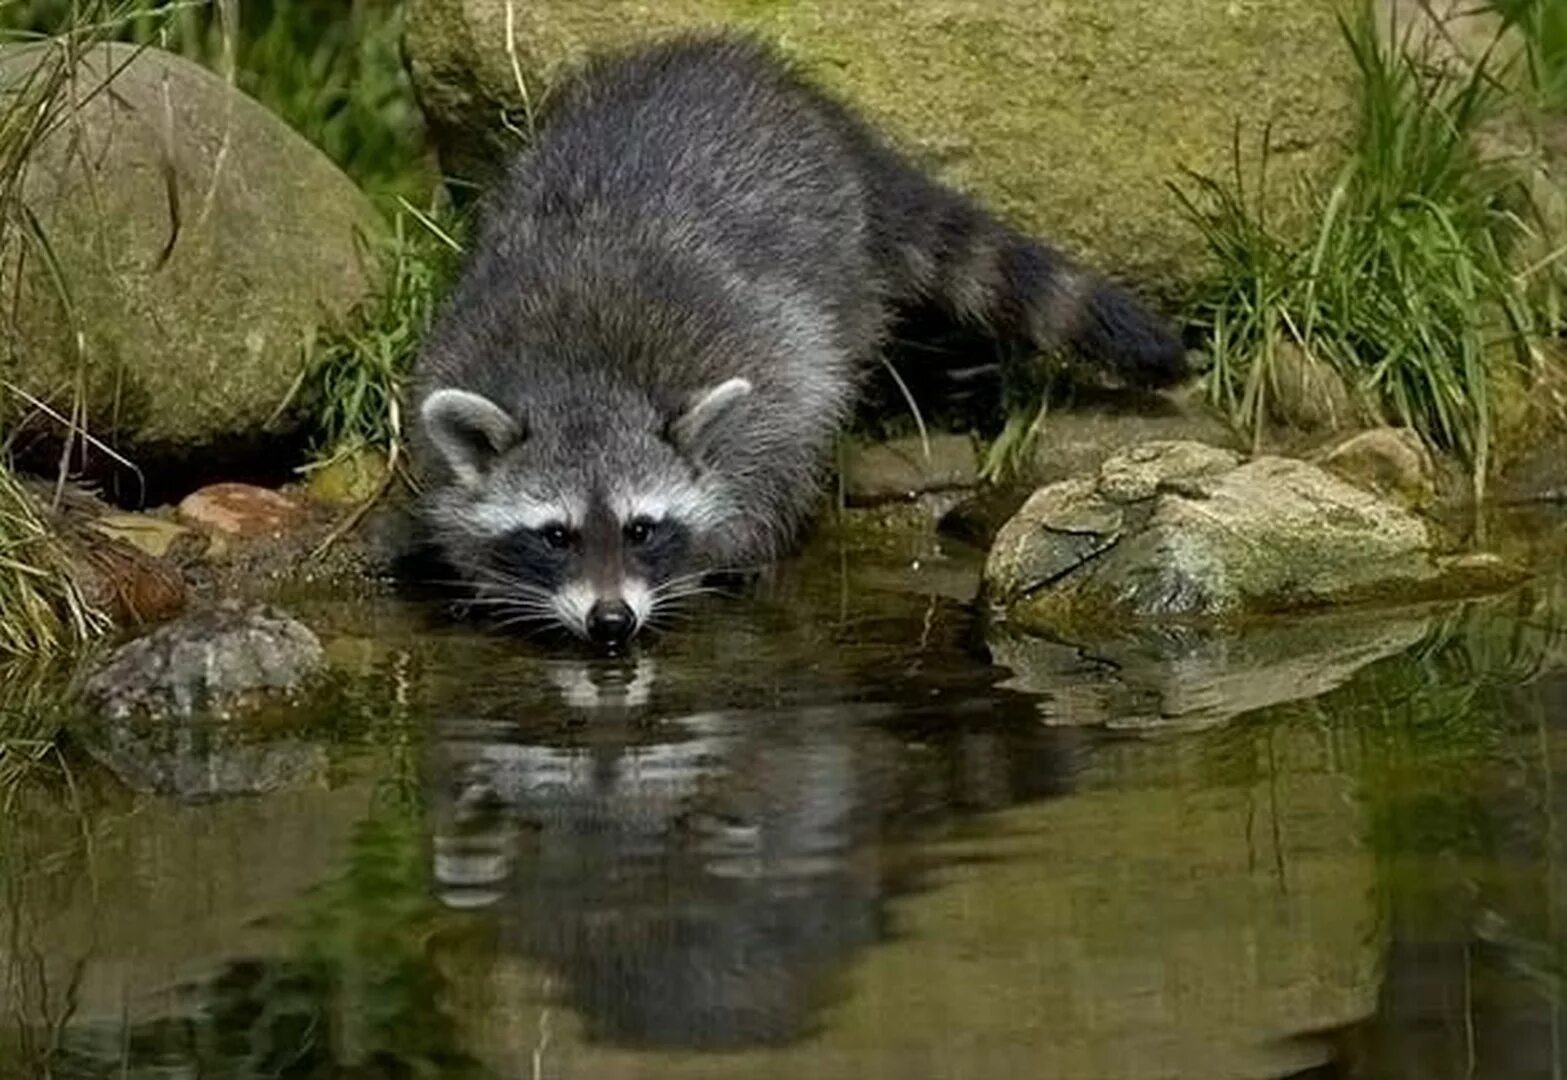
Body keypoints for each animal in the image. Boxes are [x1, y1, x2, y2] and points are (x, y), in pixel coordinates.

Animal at [410, 31, 1178, 648]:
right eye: (556, 535)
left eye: (641, 529)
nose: (611, 622)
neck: (586, 382)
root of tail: (795, 94)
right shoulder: (463, 344)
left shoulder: (761, 361)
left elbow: (772, 448)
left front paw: (722, 559)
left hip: (837, 269)